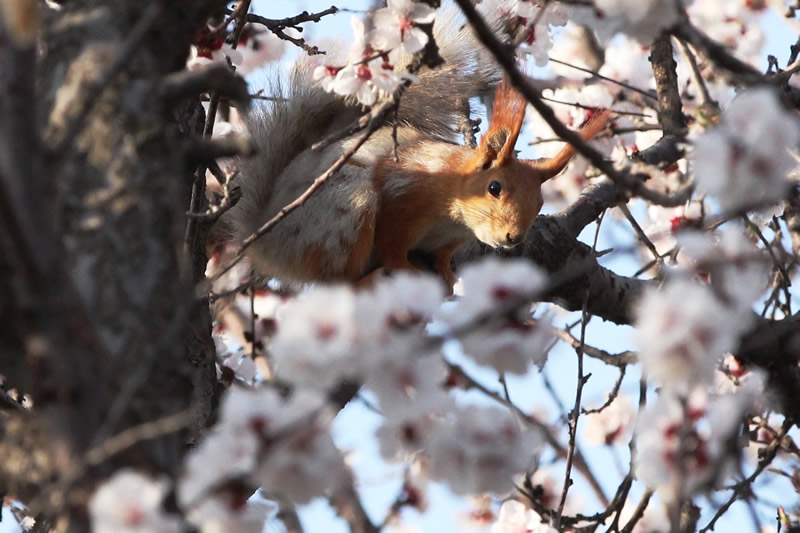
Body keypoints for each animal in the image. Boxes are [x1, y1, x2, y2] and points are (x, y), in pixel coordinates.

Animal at [222, 8, 608, 288]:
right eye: (494, 187)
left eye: (541, 202)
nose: (513, 238)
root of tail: (265, 242)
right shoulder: (402, 198)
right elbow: (391, 245)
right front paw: (403, 267)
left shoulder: (450, 239)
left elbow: (443, 257)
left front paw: (447, 275)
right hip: (342, 212)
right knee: (338, 279)